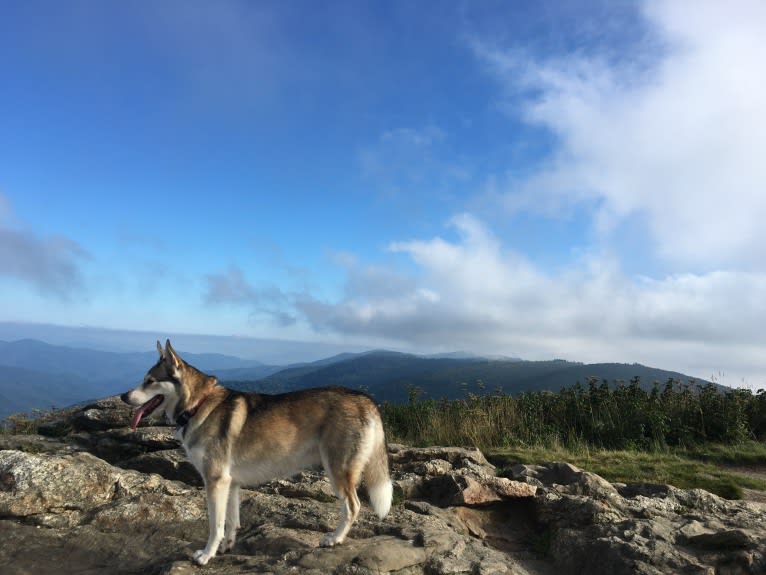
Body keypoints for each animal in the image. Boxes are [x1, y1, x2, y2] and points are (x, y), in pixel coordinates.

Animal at [121, 342, 396, 568]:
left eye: (149, 381)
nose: (124, 396)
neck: (197, 405)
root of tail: (365, 399)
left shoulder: (215, 481)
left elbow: (215, 526)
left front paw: (206, 555)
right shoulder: (230, 484)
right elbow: (230, 522)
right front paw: (225, 547)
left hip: (337, 470)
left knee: (353, 506)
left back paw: (334, 539)